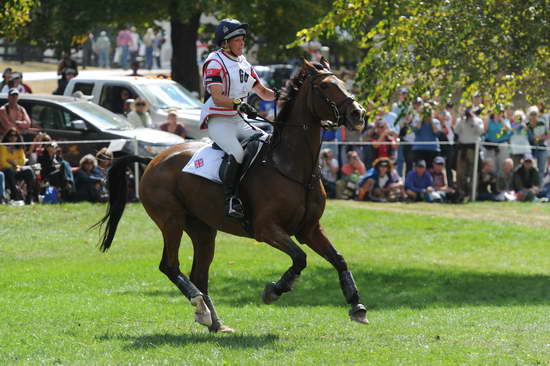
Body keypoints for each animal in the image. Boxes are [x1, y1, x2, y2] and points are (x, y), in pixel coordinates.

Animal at [94, 59, 370, 332]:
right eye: (325, 86)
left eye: (342, 82)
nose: (358, 114)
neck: (291, 166)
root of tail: (152, 160)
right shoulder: (267, 229)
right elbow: (300, 258)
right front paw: (274, 290)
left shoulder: (309, 229)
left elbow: (339, 259)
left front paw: (356, 305)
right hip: (171, 221)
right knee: (170, 265)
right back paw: (201, 308)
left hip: (203, 230)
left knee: (199, 274)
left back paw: (214, 321)